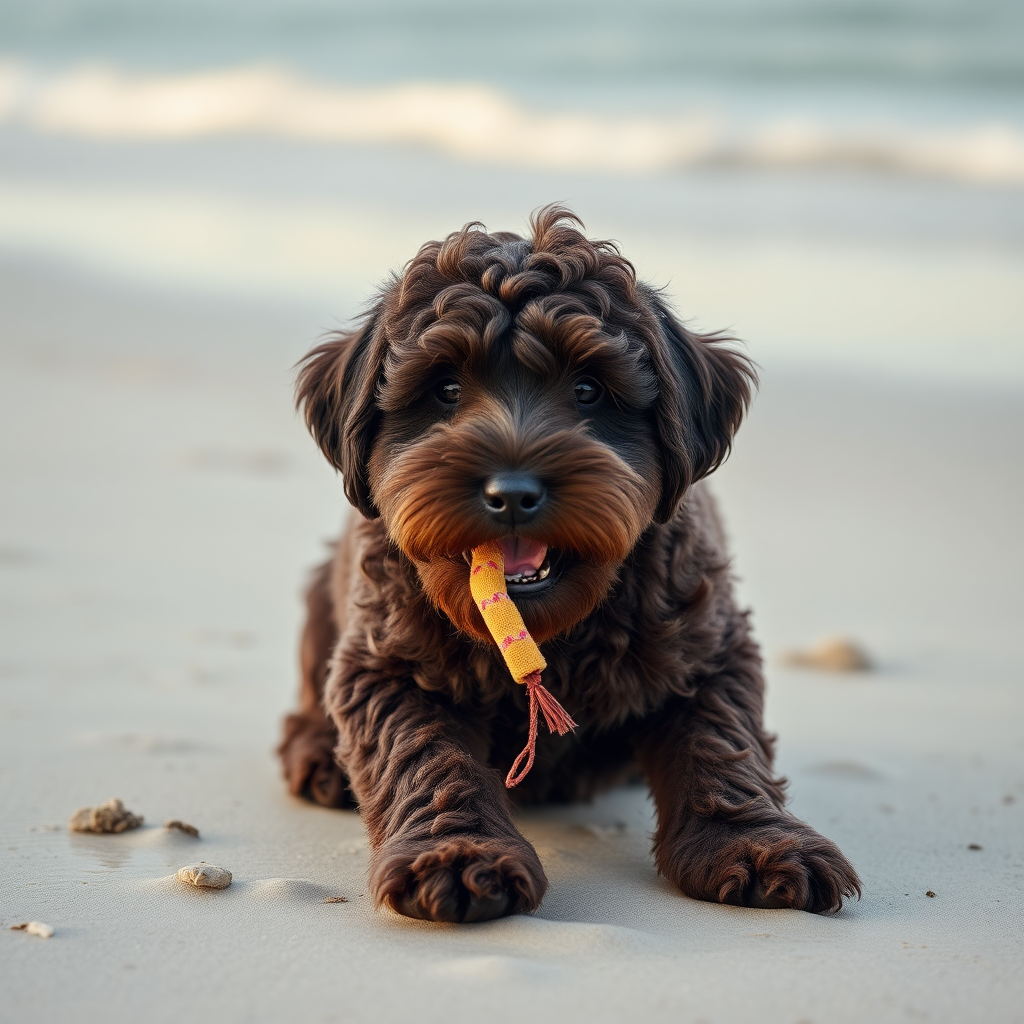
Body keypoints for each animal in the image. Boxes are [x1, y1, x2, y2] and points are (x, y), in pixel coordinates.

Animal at [276, 203, 860, 925]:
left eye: (588, 389)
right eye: (445, 388)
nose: (512, 494)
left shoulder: (709, 648)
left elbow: (723, 743)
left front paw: (754, 843)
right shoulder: (390, 665)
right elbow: (427, 756)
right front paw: (458, 852)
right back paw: (317, 753)